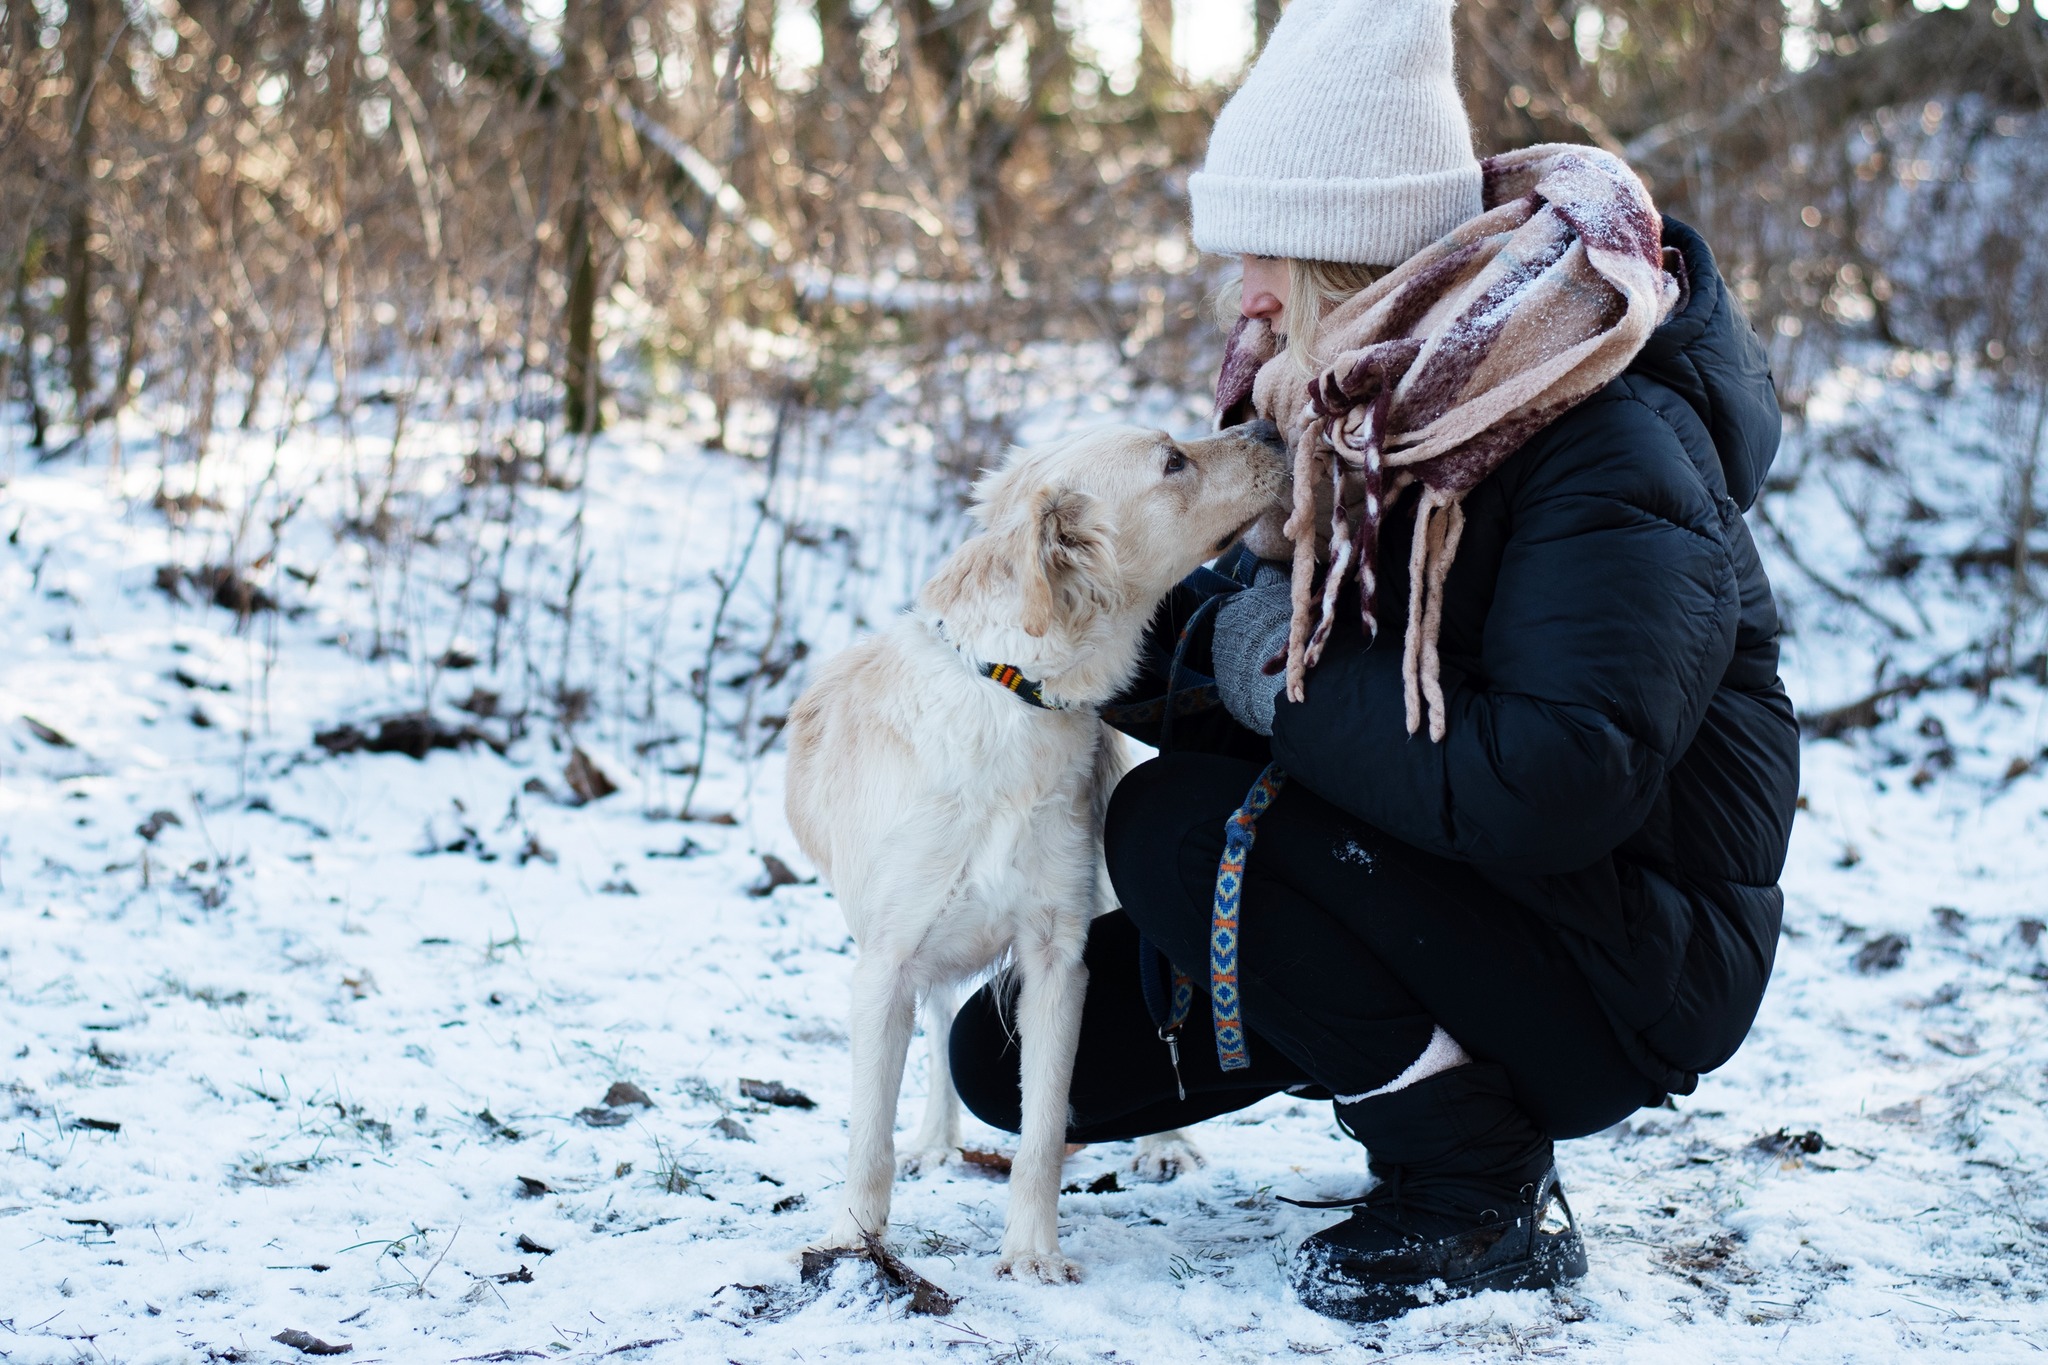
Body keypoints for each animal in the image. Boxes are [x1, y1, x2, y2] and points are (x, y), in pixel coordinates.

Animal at [782, 419, 1277, 1285]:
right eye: (1172, 460)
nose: (1272, 426)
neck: (1008, 695)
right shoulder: (885, 964)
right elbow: (868, 1135)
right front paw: (852, 1243)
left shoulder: (1058, 957)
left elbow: (1042, 1129)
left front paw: (1032, 1252)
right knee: (939, 1024)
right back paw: (935, 1140)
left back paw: (1165, 1142)